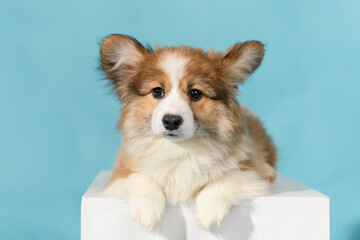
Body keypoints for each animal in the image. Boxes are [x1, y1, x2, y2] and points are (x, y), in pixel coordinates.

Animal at [100, 33, 278, 231]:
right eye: (157, 91)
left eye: (195, 93)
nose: (171, 121)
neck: (180, 147)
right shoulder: (121, 174)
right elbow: (141, 180)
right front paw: (148, 210)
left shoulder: (247, 172)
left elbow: (223, 180)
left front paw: (210, 210)